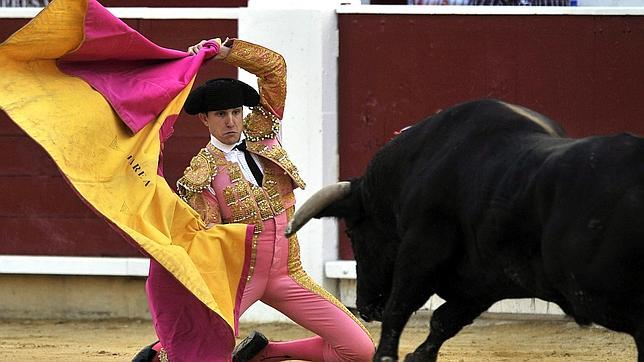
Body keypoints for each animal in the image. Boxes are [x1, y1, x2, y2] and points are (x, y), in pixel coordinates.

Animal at [286, 97, 644, 360]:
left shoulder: (420, 253)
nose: (364, 306)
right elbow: (444, 321)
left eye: (352, 233)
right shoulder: (486, 281)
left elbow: (399, 313)